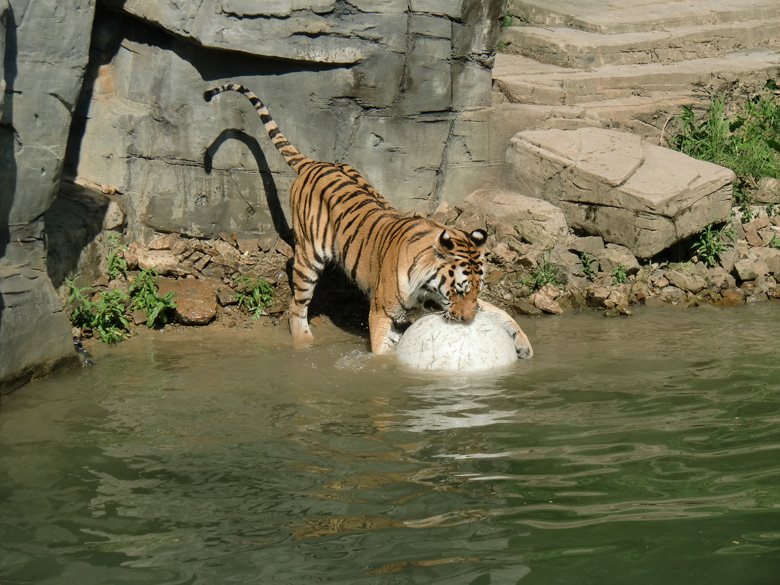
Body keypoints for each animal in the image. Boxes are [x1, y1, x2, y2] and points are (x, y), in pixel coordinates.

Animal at [204, 82, 532, 356]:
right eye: (459, 290)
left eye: (477, 290)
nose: (466, 320)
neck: (428, 286)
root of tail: (314, 162)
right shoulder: (383, 313)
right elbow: (382, 353)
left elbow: (499, 312)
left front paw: (523, 344)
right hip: (308, 257)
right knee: (296, 305)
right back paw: (304, 341)